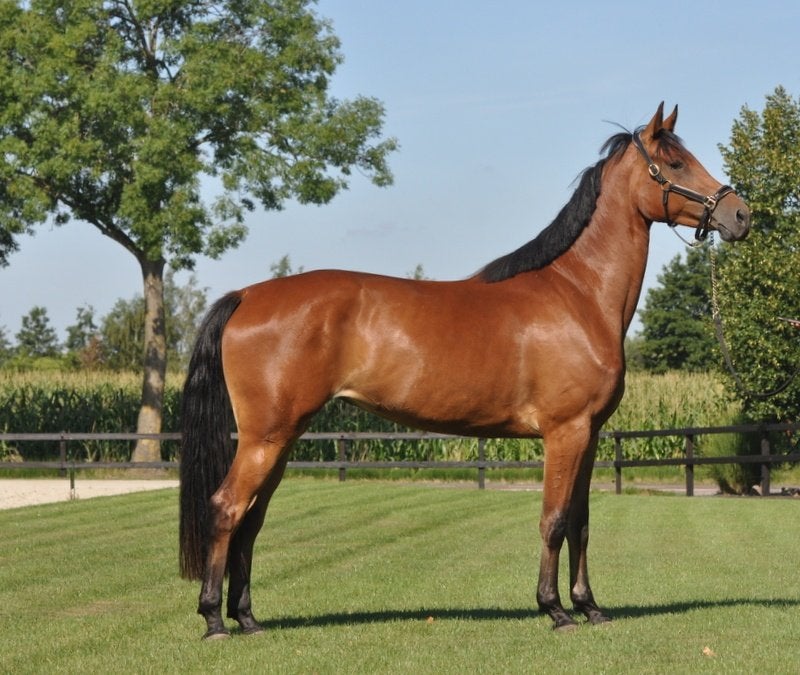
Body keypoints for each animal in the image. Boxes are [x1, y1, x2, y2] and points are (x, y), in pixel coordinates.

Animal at [178, 103, 750, 638]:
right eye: (675, 163)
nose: (740, 214)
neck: (578, 294)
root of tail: (247, 295)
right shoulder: (564, 433)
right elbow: (553, 521)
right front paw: (555, 610)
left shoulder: (589, 435)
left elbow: (581, 524)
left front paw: (590, 607)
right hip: (264, 438)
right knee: (227, 508)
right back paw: (214, 620)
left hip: (282, 437)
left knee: (252, 519)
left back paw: (247, 617)